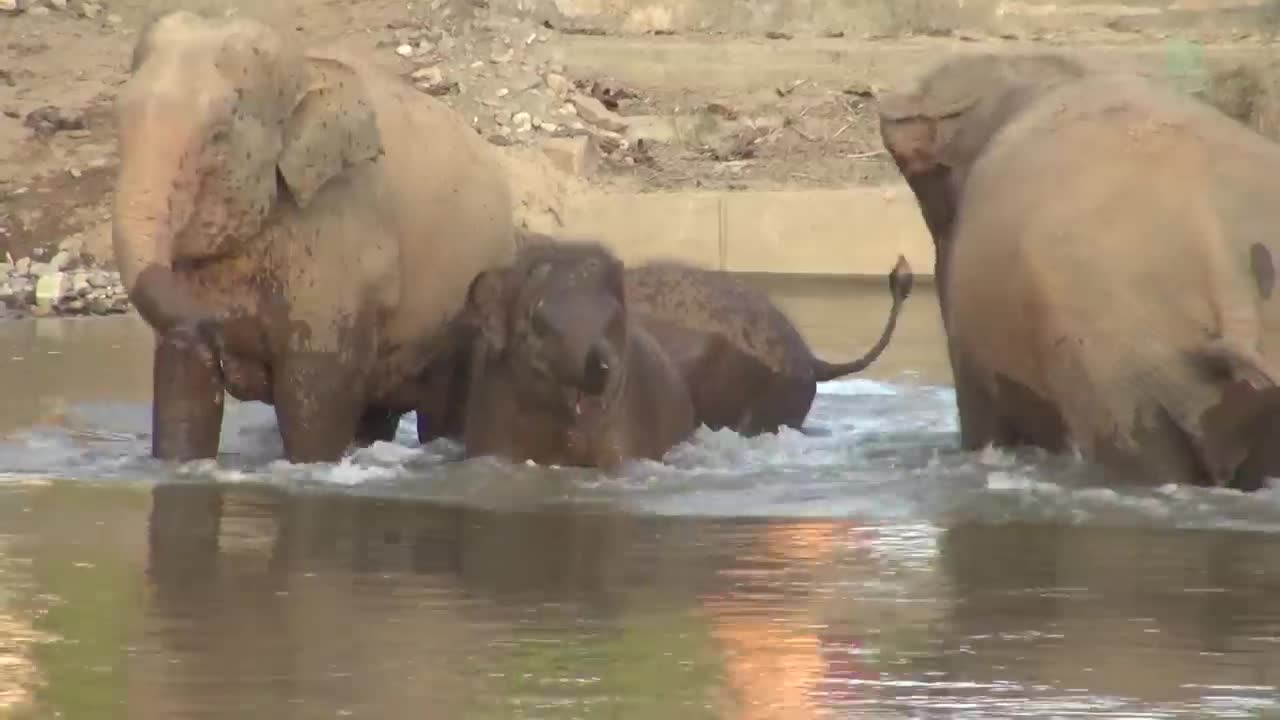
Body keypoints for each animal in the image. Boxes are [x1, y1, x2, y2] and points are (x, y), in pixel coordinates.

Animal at [113, 11, 514, 461]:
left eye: (219, 134)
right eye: (117, 119)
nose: (218, 331)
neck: (305, 67)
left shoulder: (341, 243)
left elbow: (312, 402)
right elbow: (182, 390)